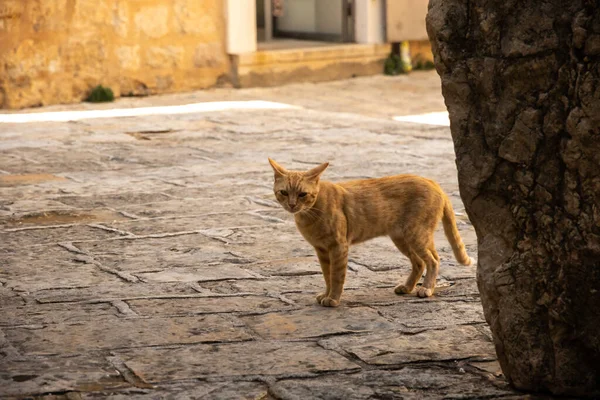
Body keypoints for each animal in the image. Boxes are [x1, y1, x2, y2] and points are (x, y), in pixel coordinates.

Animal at [268, 158, 474, 308]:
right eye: (284, 192)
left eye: (302, 194)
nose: (292, 205)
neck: (310, 212)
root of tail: (433, 182)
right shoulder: (322, 250)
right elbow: (327, 275)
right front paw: (326, 294)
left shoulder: (338, 247)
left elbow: (336, 276)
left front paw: (333, 298)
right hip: (403, 237)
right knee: (419, 262)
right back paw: (407, 287)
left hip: (416, 234)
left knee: (433, 260)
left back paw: (426, 288)